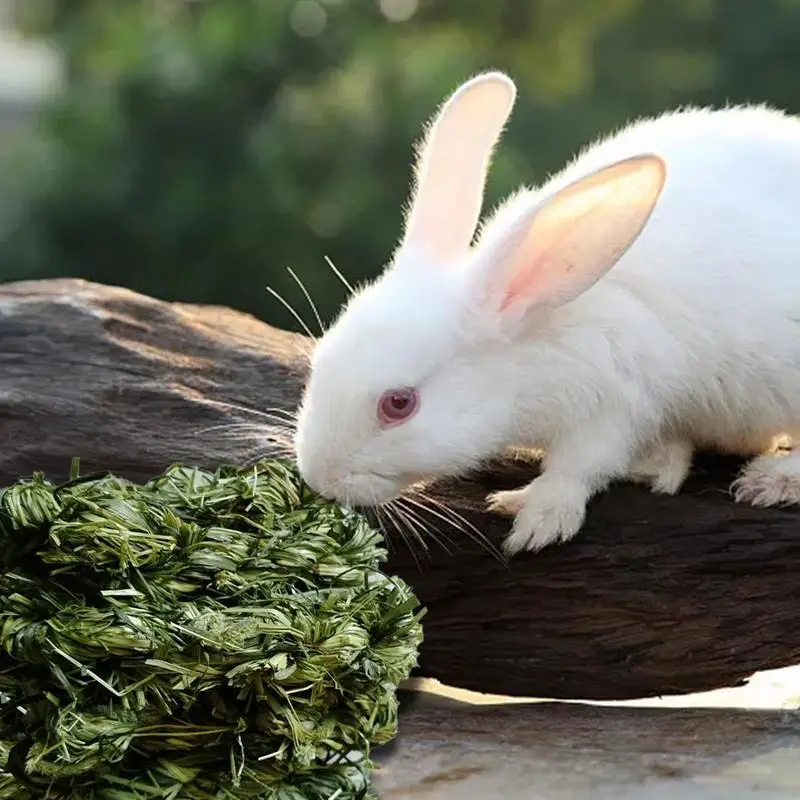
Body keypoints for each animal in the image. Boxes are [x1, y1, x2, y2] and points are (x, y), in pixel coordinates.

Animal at [294, 72, 800, 552]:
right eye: (320, 359)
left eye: (398, 404)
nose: (320, 478)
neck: (533, 347)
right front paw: (660, 465)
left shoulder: (614, 402)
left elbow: (580, 468)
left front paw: (536, 518)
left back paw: (771, 479)